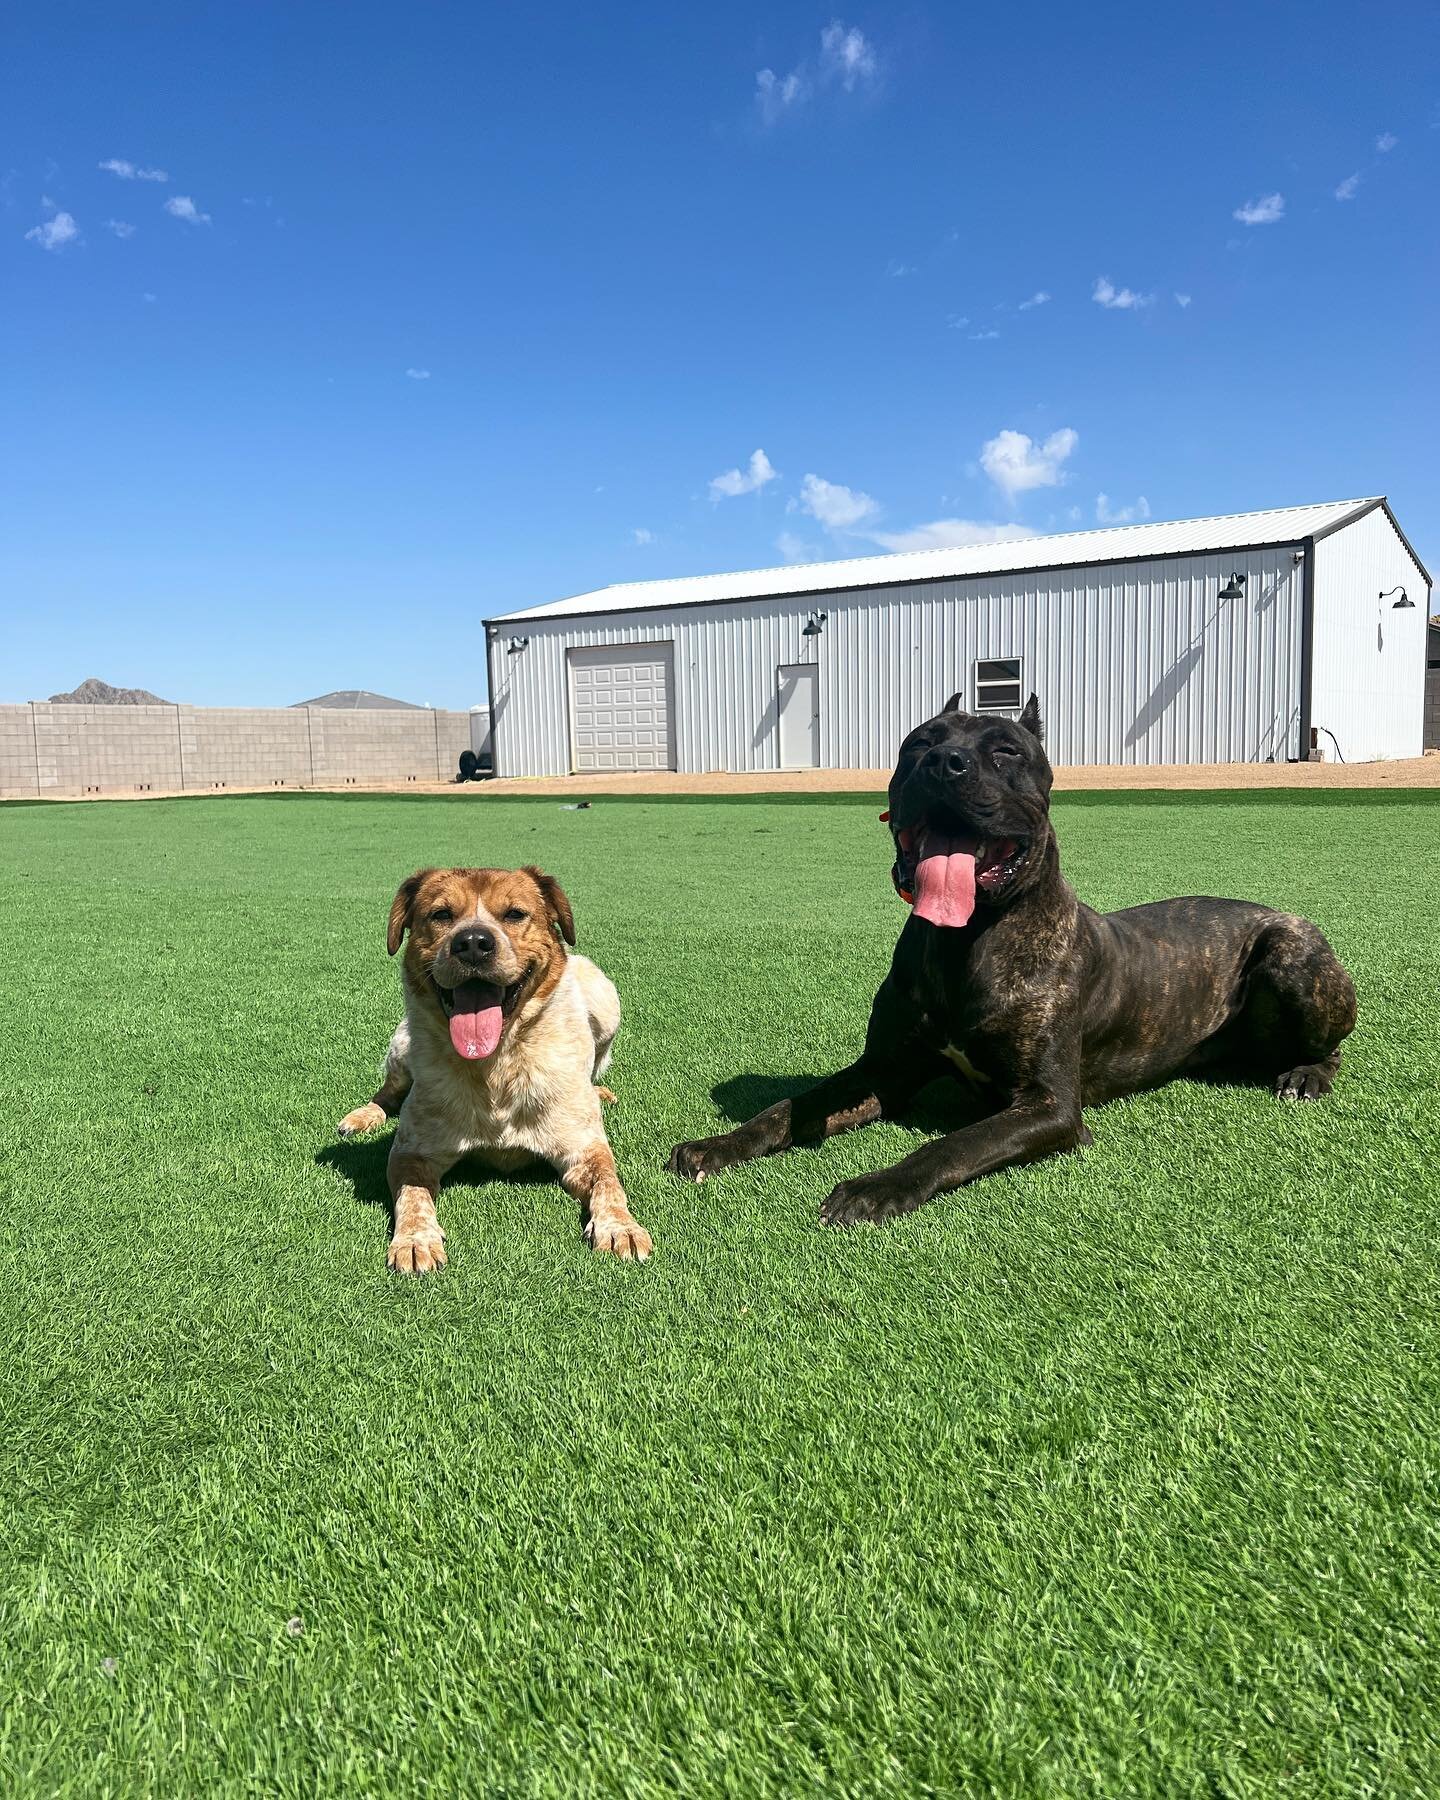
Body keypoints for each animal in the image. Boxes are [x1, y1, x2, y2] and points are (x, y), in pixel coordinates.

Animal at [334, 867, 648, 1267]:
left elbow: (609, 1182)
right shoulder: (411, 1150)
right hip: (403, 1044)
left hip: (604, 997)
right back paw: (362, 1116)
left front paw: (621, 1227)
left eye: (514, 914)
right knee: (388, 1092)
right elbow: (412, 1194)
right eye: (441, 915)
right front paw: (415, 1239)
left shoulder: (584, 1148)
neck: (495, 1064)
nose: (471, 943)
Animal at [669, 687, 1353, 1224]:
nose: (942, 763)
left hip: (1292, 958)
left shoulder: (1047, 1106)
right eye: (916, 744)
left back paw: (1306, 1075)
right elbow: (790, 1106)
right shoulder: (883, 1072)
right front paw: (717, 1144)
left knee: (1333, 1045)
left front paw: (876, 1186)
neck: (964, 940)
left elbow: (953, 1145)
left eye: (1005, 753)